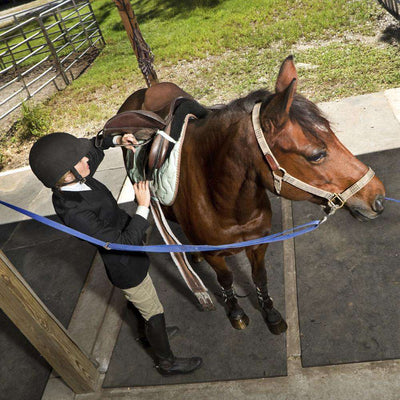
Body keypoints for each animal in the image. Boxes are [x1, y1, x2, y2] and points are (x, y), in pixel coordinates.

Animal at [118, 57, 384, 334]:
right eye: (316, 155)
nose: (377, 197)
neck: (226, 203)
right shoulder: (216, 256)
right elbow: (226, 280)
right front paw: (235, 311)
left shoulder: (258, 244)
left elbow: (260, 277)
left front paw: (270, 312)